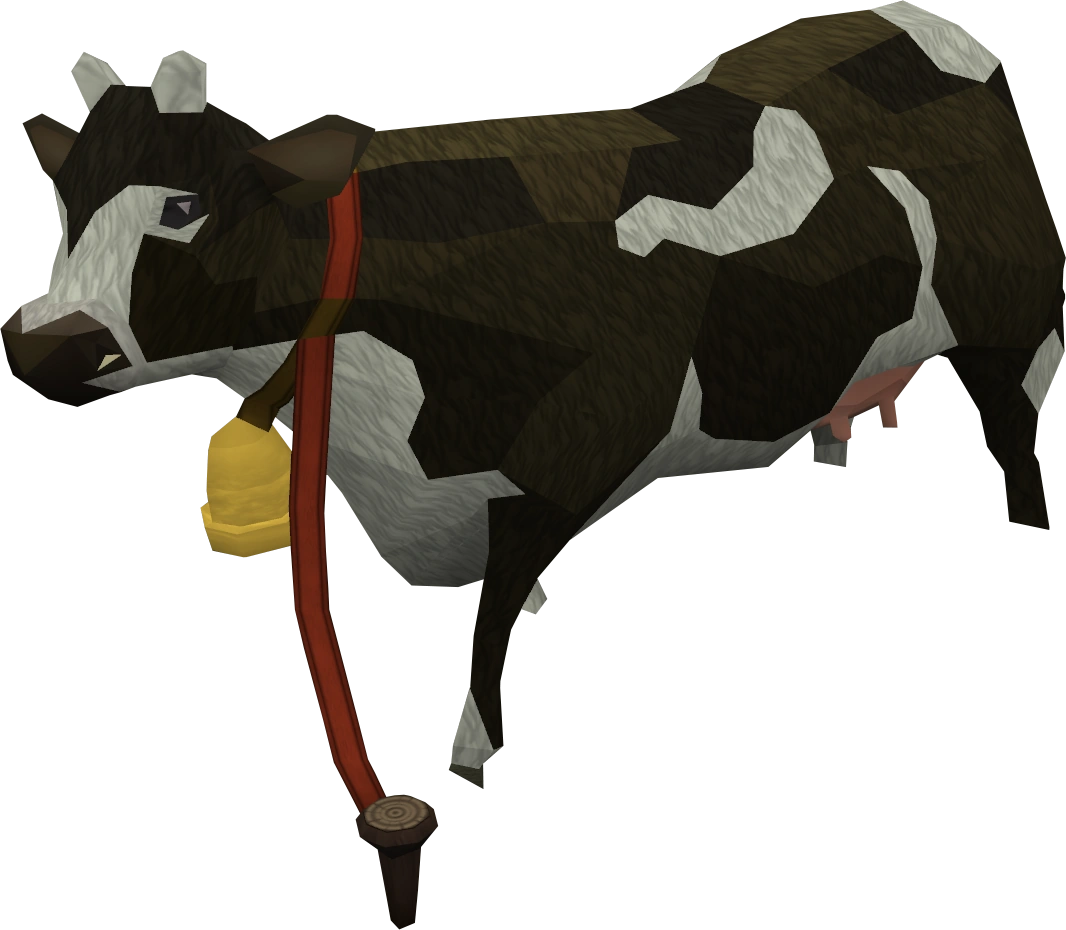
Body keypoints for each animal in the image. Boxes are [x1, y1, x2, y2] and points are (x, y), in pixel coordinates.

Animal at [5, 2, 1063, 796]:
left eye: (183, 207)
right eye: (63, 201)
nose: (40, 344)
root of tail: (920, 19)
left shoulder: (570, 451)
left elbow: (493, 609)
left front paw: (474, 750)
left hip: (1012, 323)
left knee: (1015, 428)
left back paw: (1028, 528)